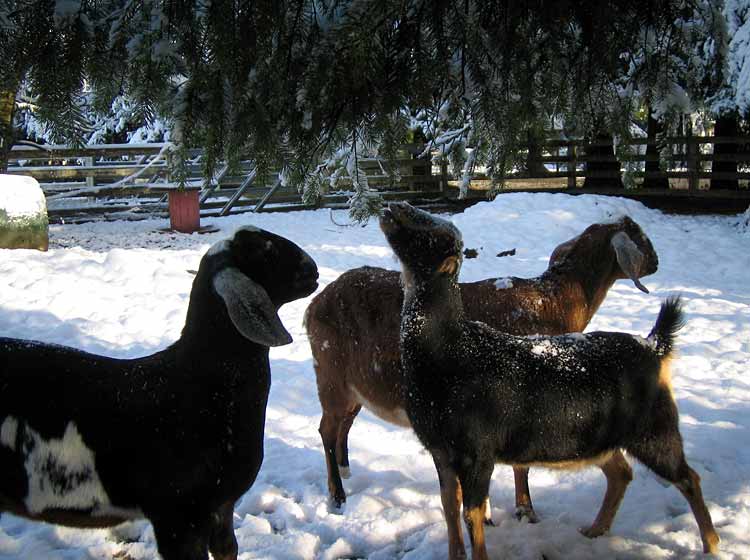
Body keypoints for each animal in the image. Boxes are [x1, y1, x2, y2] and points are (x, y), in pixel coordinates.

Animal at [0, 226, 319, 560]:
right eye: (264, 249)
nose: (313, 269)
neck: (203, 383)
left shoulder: (221, 507)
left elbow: (227, 549)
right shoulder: (178, 516)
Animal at [306, 214, 658, 519]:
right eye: (640, 236)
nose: (656, 262)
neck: (556, 302)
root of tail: (316, 303)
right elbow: (520, 466)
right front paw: (525, 510)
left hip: (357, 385)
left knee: (344, 424)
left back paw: (345, 470)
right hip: (330, 373)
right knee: (326, 429)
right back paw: (337, 496)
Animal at [380, 201, 719, 560]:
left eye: (435, 236)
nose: (394, 207)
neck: (448, 350)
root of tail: (655, 346)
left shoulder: (478, 453)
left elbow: (472, 513)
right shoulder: (441, 452)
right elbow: (449, 505)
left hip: (655, 431)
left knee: (688, 478)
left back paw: (711, 544)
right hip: (602, 437)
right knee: (621, 473)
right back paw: (595, 530)